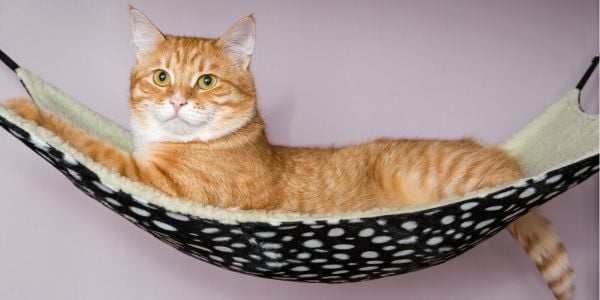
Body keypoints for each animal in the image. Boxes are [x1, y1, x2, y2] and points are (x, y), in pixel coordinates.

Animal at [3, 7, 576, 300]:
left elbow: (93, 143)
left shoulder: (164, 183)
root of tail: (509, 162)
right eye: (162, 76)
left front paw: (22, 105)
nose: (178, 100)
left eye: (206, 80)